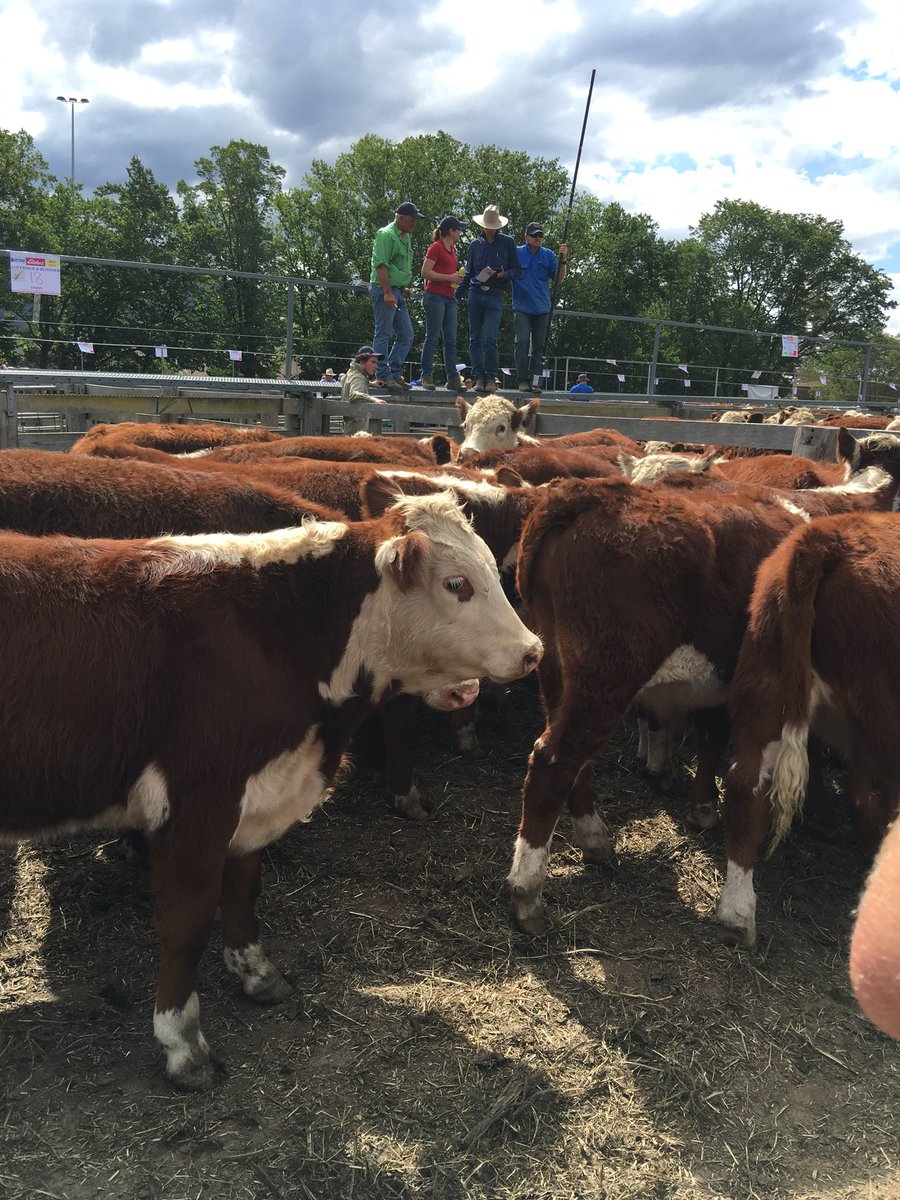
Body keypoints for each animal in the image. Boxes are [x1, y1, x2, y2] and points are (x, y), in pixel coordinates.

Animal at [0, 488, 542, 1088]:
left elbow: (243, 889)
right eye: (456, 584)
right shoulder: (197, 802)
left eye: (493, 569)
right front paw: (182, 1041)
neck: (278, 633)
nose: (533, 650)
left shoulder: (255, 800)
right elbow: (187, 920)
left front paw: (257, 973)